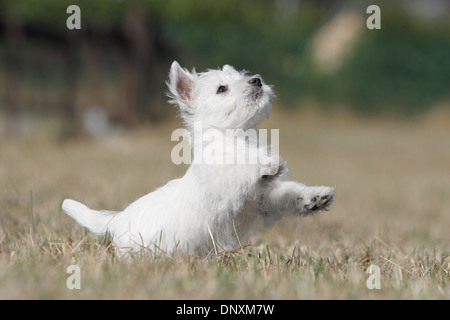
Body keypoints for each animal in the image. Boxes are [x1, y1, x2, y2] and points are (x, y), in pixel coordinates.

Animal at [64, 62, 338, 258]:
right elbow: (241, 169)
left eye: (242, 75)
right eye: (221, 88)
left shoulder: (262, 199)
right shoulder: (227, 188)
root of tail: (115, 220)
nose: (257, 80)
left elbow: (288, 193)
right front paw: (267, 163)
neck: (233, 138)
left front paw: (315, 197)